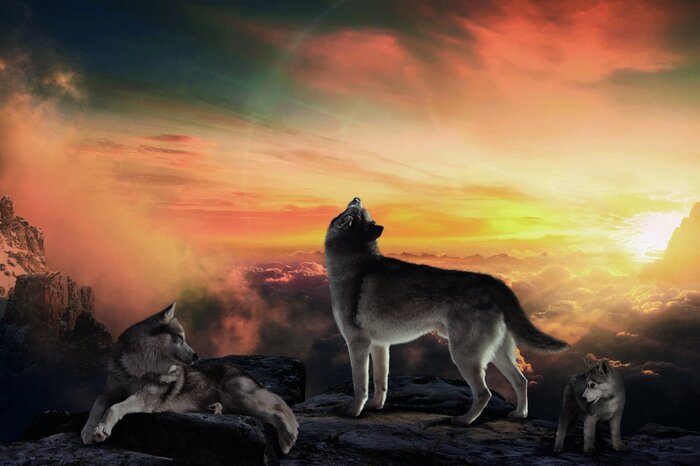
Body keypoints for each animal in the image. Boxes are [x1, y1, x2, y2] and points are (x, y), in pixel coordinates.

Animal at [80, 303, 298, 454]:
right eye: (180, 337)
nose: (196, 355)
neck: (138, 368)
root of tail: (244, 371)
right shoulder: (109, 391)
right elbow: (98, 404)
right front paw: (88, 430)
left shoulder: (145, 398)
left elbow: (113, 408)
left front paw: (101, 430)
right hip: (239, 403)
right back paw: (215, 408)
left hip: (243, 399)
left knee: (278, 413)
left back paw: (287, 441)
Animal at [324, 198, 569, 425]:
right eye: (360, 211)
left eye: (353, 210)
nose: (356, 198)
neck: (355, 263)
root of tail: (496, 283)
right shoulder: (380, 345)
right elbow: (381, 382)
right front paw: (376, 407)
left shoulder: (357, 343)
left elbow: (360, 386)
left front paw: (353, 412)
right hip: (498, 353)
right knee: (521, 381)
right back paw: (519, 414)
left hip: (464, 354)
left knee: (484, 393)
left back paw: (464, 420)